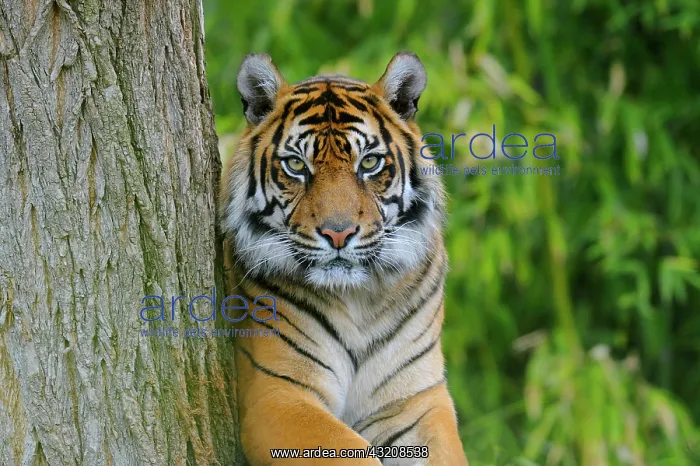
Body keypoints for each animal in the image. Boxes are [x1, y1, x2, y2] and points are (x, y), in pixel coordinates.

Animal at [220, 51, 468, 466]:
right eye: (296, 165)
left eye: (368, 164)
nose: (338, 233)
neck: (358, 299)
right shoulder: (277, 394)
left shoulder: (415, 400)